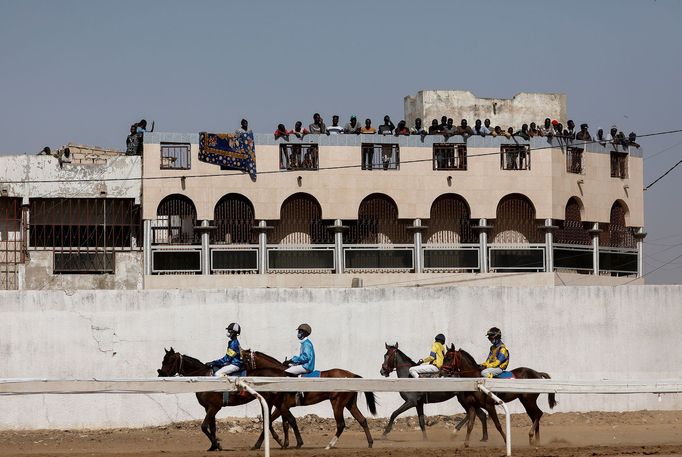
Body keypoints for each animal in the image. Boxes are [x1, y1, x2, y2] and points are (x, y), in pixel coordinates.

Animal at [155, 348, 290, 450]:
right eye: (163, 360)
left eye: (170, 360)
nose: (160, 374)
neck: (204, 378)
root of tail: (281, 373)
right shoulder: (208, 408)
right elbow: (212, 427)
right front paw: (213, 446)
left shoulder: (214, 407)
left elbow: (204, 426)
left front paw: (217, 445)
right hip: (275, 402)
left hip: (270, 401)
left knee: (271, 421)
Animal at [240, 350, 378, 448]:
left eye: (244, 361)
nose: (244, 375)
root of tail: (352, 375)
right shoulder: (282, 406)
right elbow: (285, 424)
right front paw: (285, 444)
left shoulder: (282, 407)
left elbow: (274, 422)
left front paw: (258, 445)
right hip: (350, 404)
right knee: (362, 420)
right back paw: (370, 443)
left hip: (337, 403)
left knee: (341, 424)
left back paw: (329, 445)